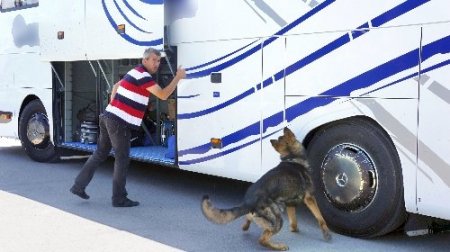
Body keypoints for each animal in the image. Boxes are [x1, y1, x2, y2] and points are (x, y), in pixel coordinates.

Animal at [200, 128, 330, 250]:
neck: (291, 157)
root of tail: (249, 201)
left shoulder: (290, 203)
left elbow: (293, 220)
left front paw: (294, 229)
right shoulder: (310, 198)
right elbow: (320, 217)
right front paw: (327, 234)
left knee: (250, 219)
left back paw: (246, 226)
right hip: (277, 218)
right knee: (263, 239)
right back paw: (279, 246)